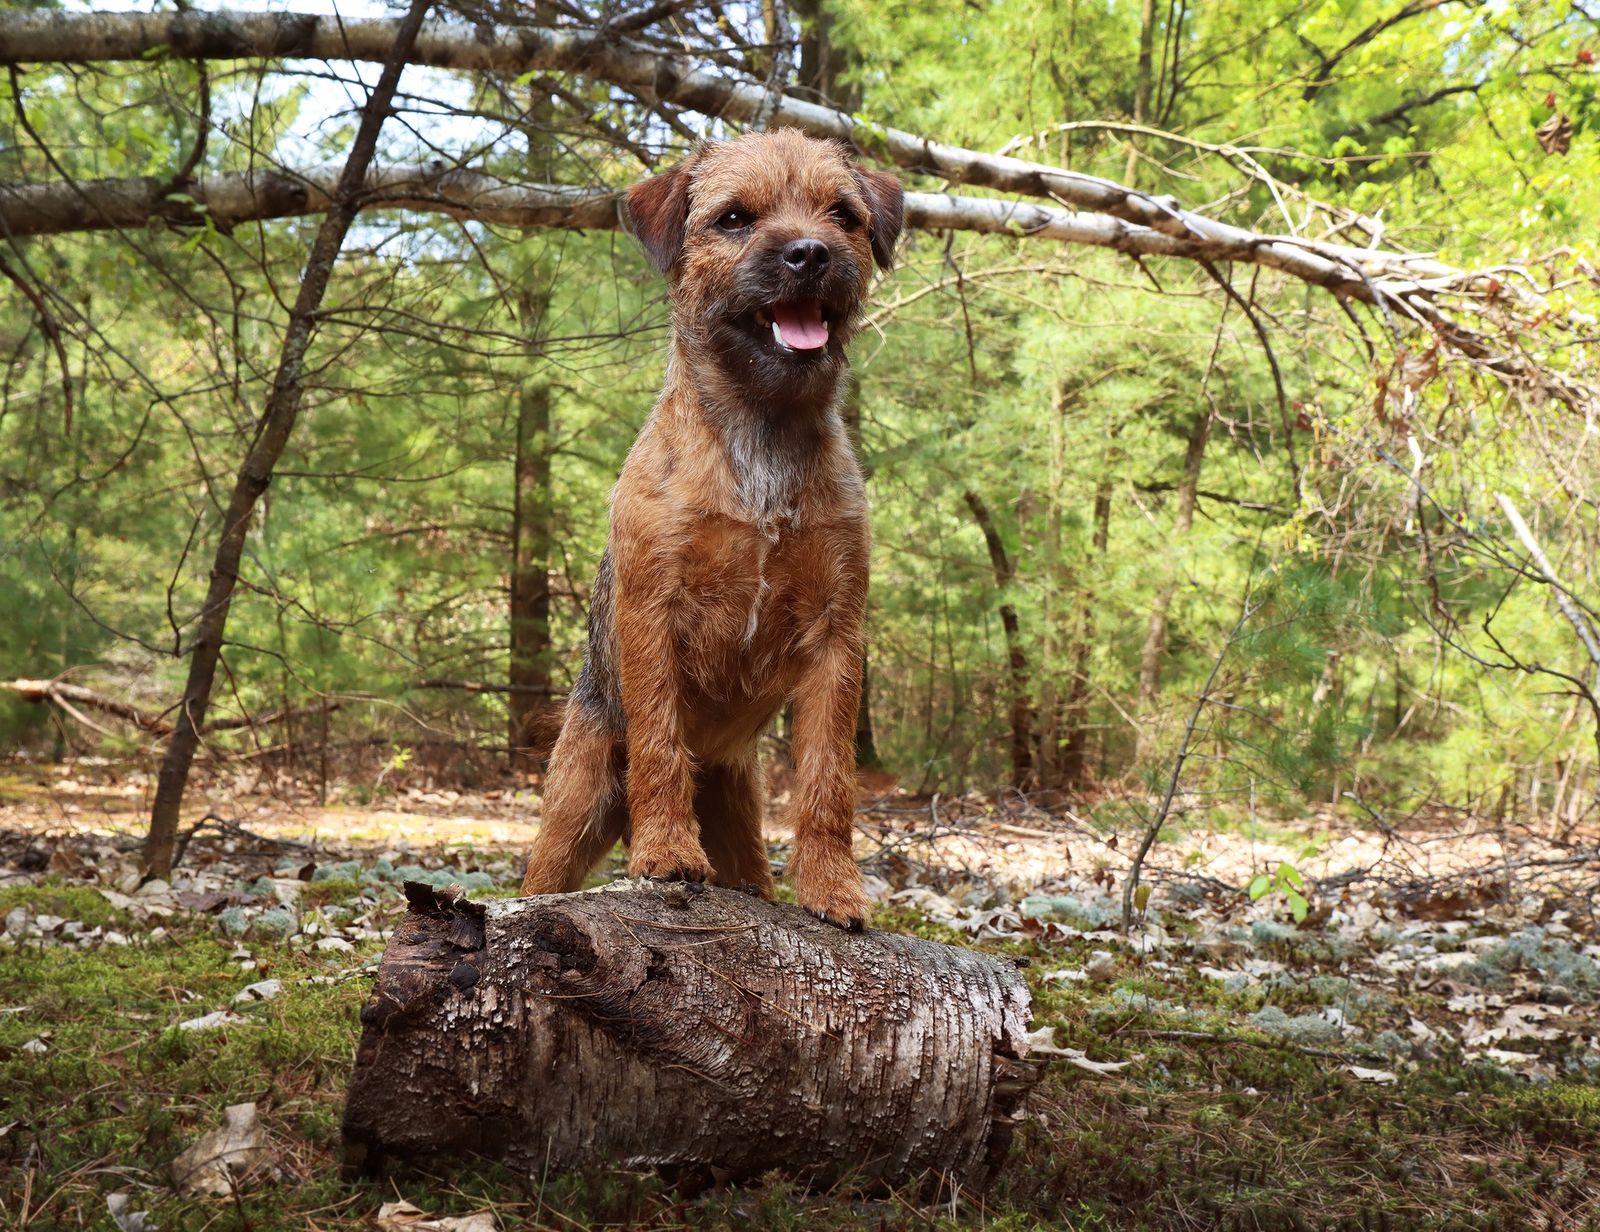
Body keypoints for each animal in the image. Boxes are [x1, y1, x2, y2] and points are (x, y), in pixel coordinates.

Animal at [519, 129, 903, 929]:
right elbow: (661, 745)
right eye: (734, 219)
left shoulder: (837, 638)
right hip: (577, 797)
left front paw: (834, 889)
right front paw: (667, 852)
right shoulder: (653, 616)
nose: (810, 253)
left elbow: (829, 781)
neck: (761, 434)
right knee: (544, 876)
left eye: (842, 215)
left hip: (738, 810)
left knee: (752, 868)